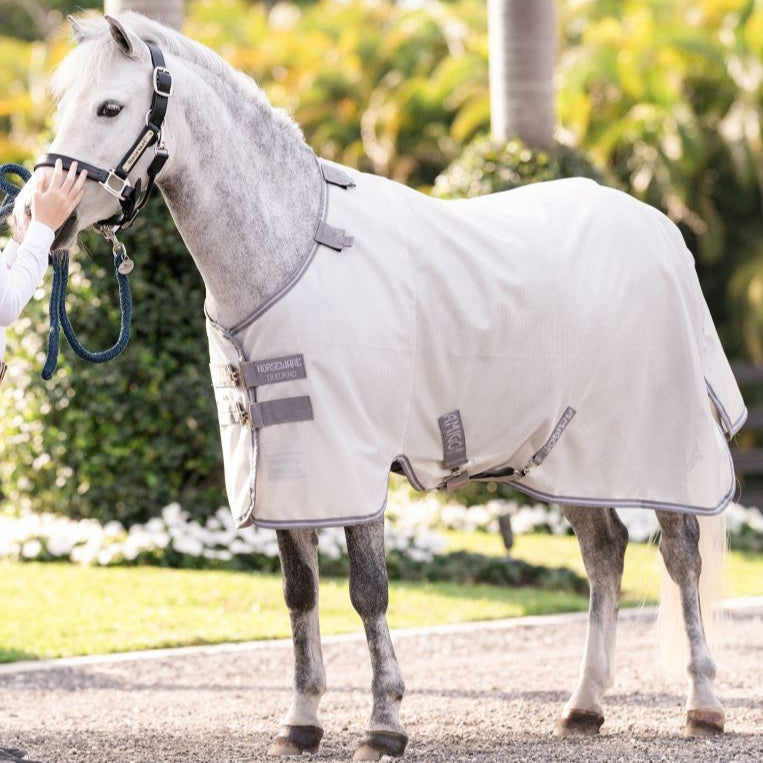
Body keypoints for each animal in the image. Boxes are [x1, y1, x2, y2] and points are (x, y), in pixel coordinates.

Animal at [14, 12, 746, 760]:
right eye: (64, 104)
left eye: (110, 107)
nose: (40, 213)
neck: (293, 251)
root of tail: (662, 229)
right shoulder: (291, 466)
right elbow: (300, 592)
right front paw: (302, 719)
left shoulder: (353, 460)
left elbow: (368, 591)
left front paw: (384, 721)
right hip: (566, 459)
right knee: (605, 553)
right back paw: (583, 707)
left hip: (659, 451)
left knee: (680, 557)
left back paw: (703, 704)